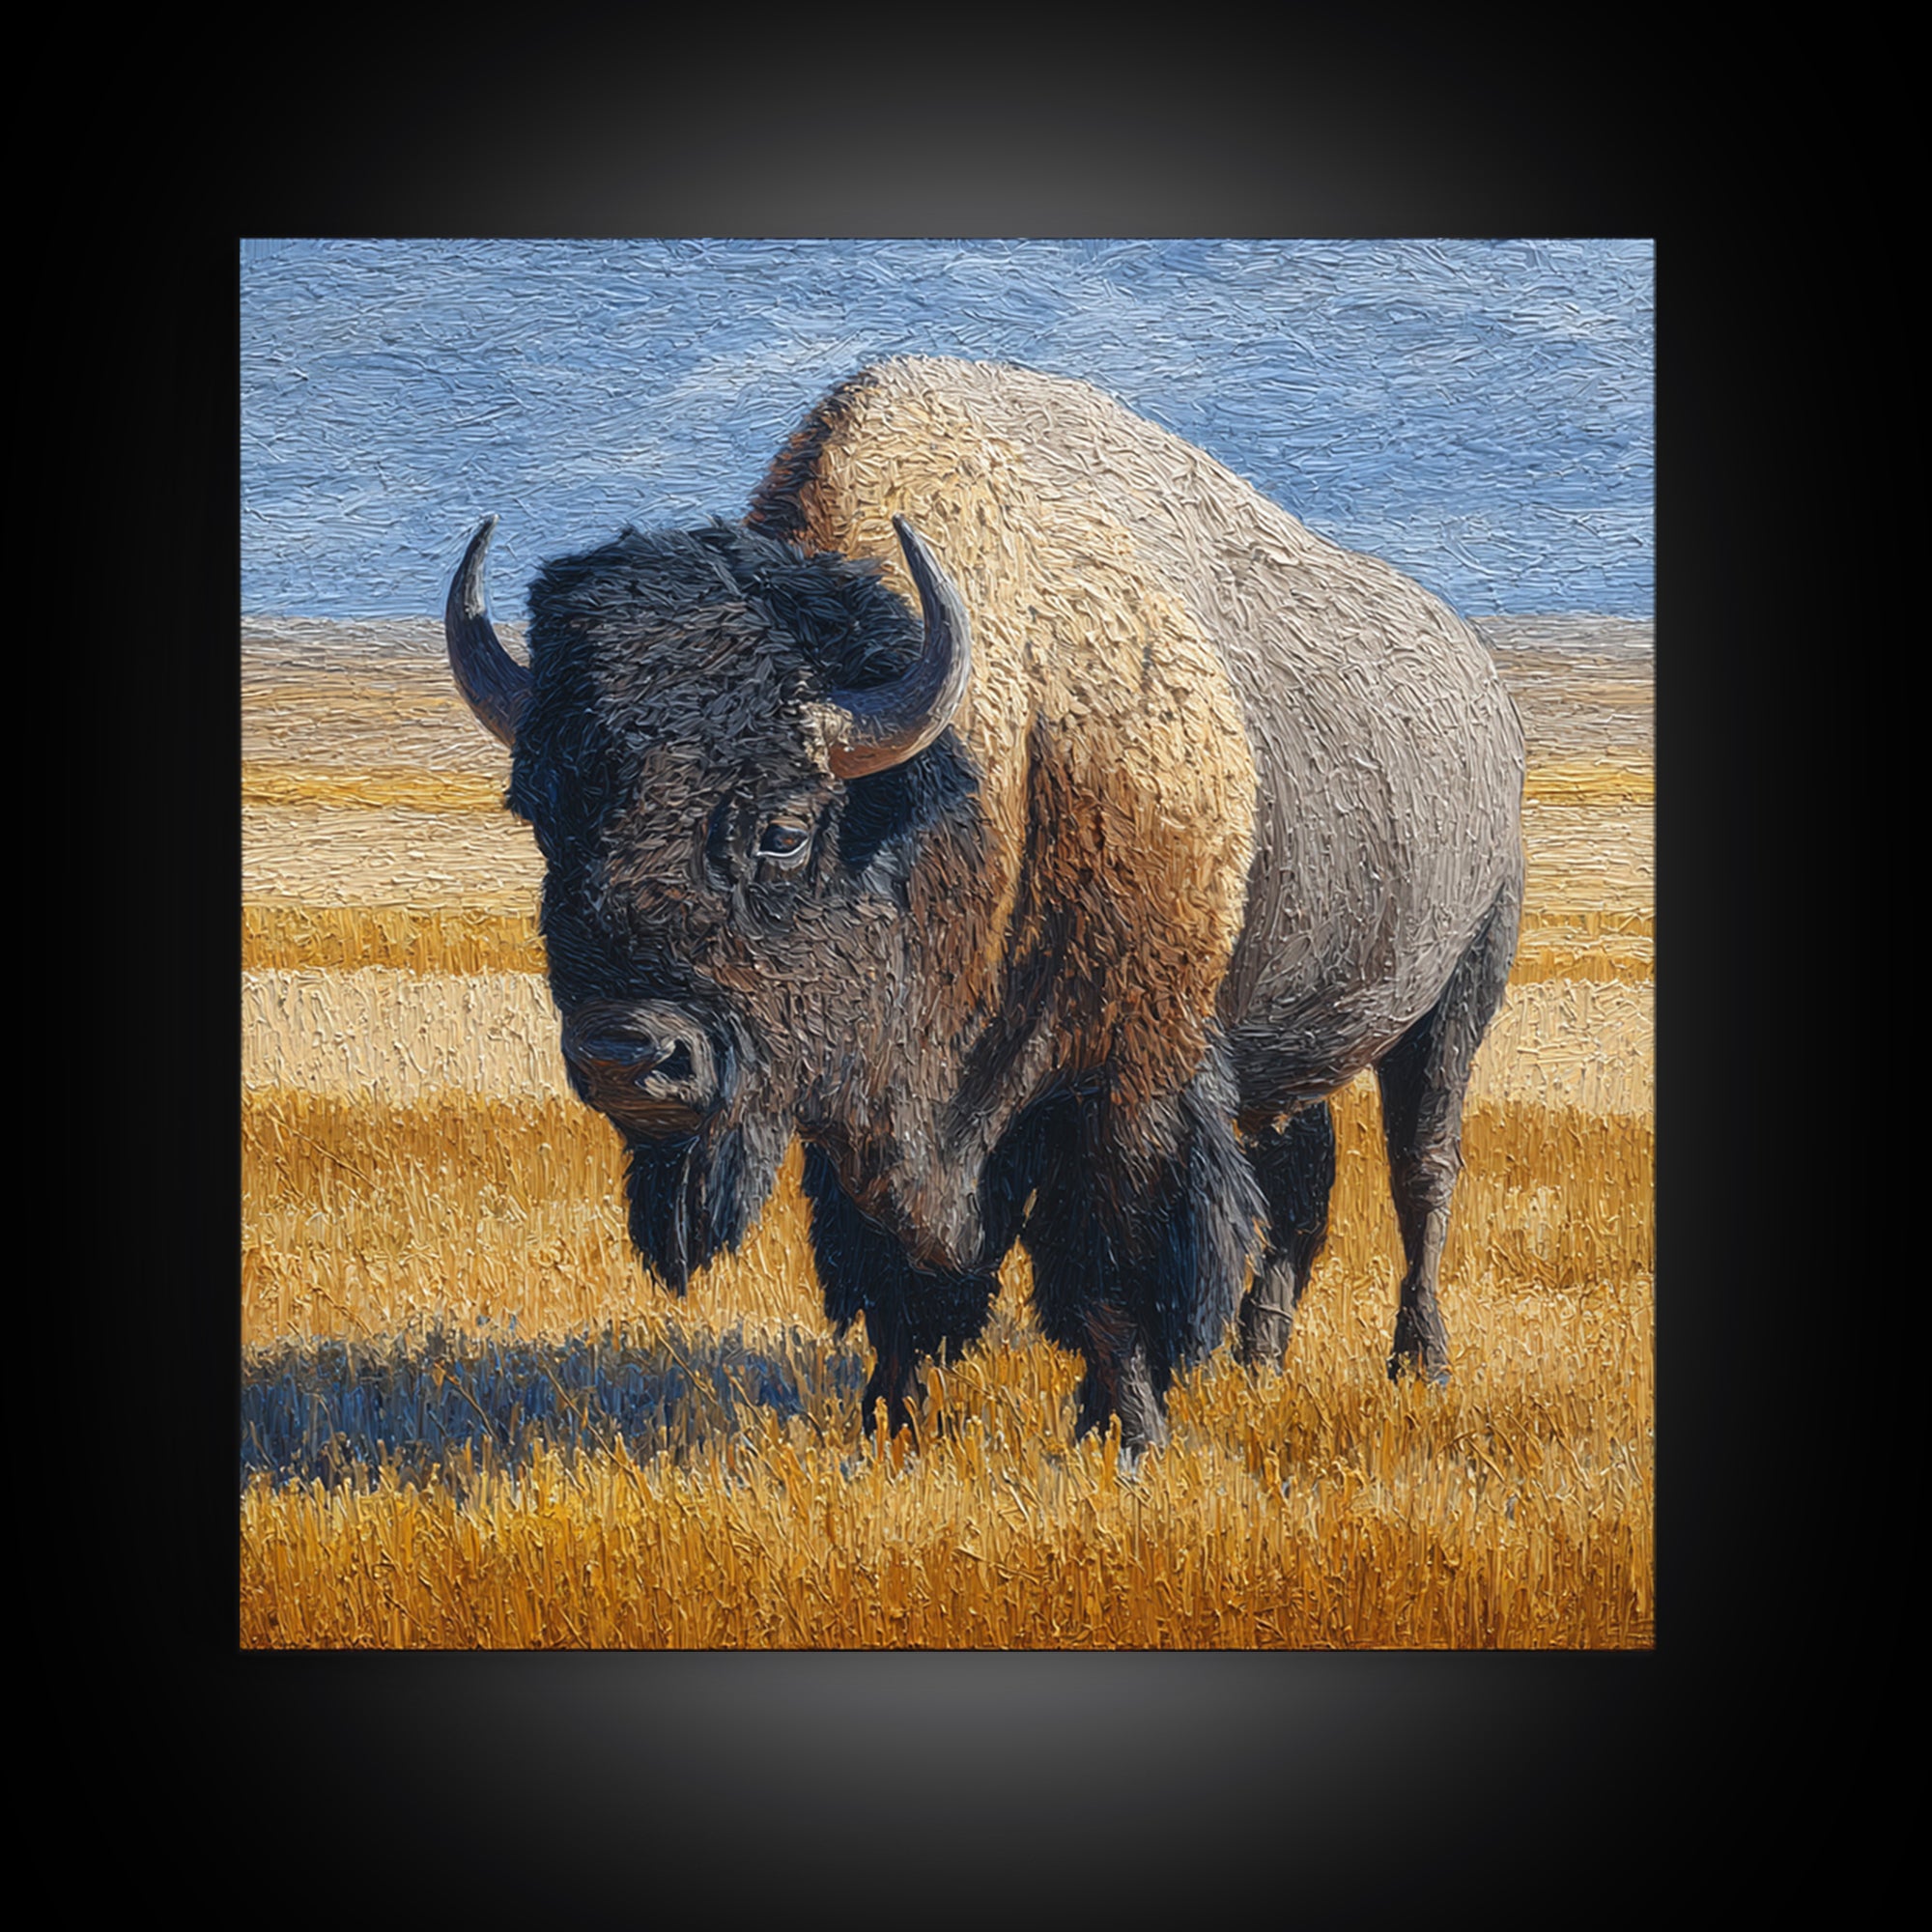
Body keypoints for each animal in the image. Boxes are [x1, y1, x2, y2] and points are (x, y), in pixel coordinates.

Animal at [445, 357, 1524, 1454]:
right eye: (541, 815)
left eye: (783, 828)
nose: (626, 1054)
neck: (983, 761)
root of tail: (1481, 684)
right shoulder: (878, 1115)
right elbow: (897, 1270)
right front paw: (886, 1421)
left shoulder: (1127, 1077)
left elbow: (1107, 1268)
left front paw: (1130, 1435)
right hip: (1290, 1041)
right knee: (1303, 1180)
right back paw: (1260, 1358)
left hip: (1454, 997)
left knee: (1421, 1174)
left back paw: (1418, 1362)